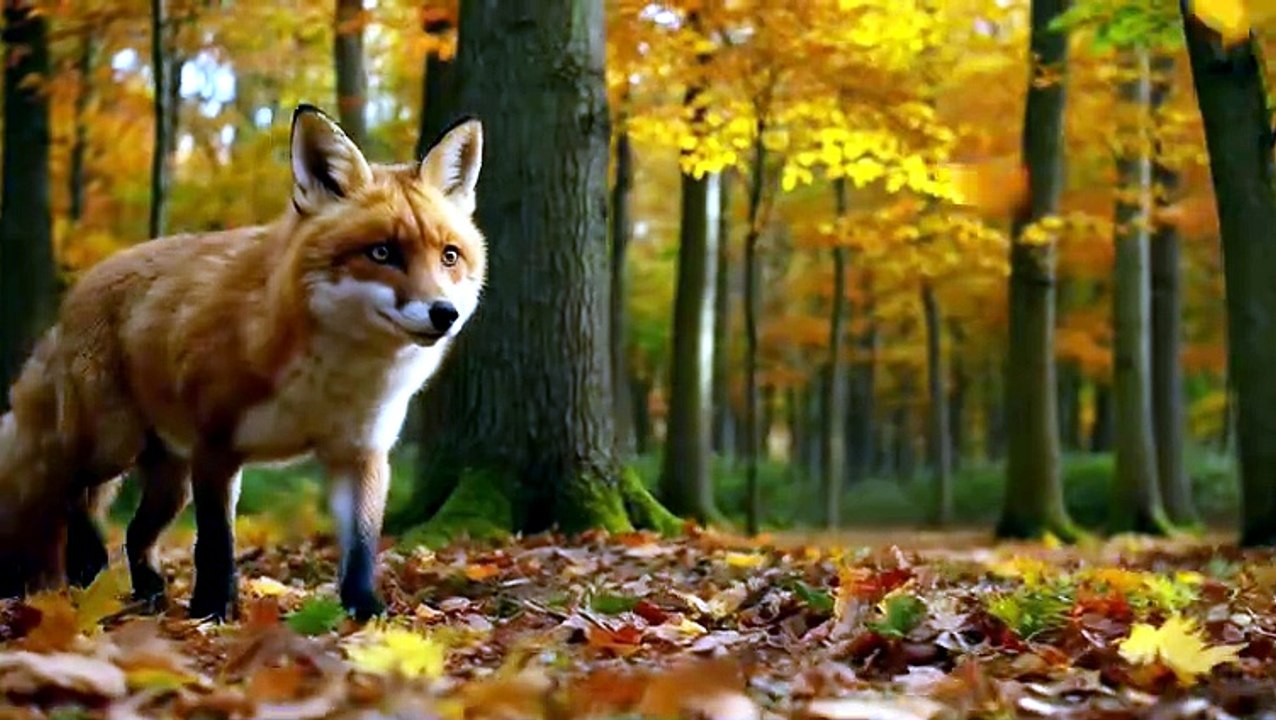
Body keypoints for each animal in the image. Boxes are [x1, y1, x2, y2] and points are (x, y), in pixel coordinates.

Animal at [0, 104, 486, 621]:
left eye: (449, 256)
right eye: (382, 252)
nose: (444, 313)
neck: (328, 380)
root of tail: (75, 294)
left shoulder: (361, 453)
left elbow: (360, 547)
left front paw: (365, 611)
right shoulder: (216, 448)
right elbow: (216, 544)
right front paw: (212, 610)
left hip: (171, 480)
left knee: (133, 534)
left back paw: (147, 592)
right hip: (114, 446)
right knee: (74, 496)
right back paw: (87, 572)